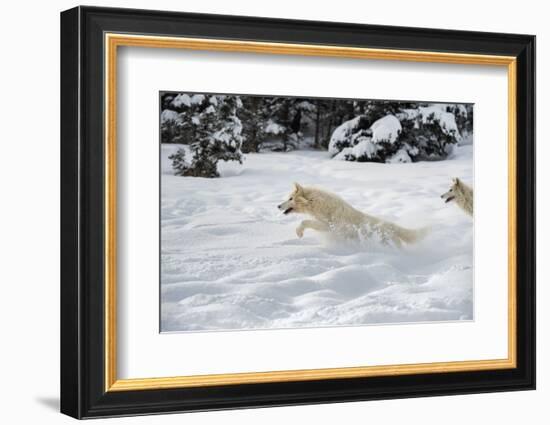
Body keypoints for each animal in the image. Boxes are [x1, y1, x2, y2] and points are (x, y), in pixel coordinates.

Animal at [278, 182, 430, 245]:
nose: (278, 206)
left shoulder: (329, 227)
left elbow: (304, 221)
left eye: (290, 198)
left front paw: (299, 232)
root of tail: (391, 226)